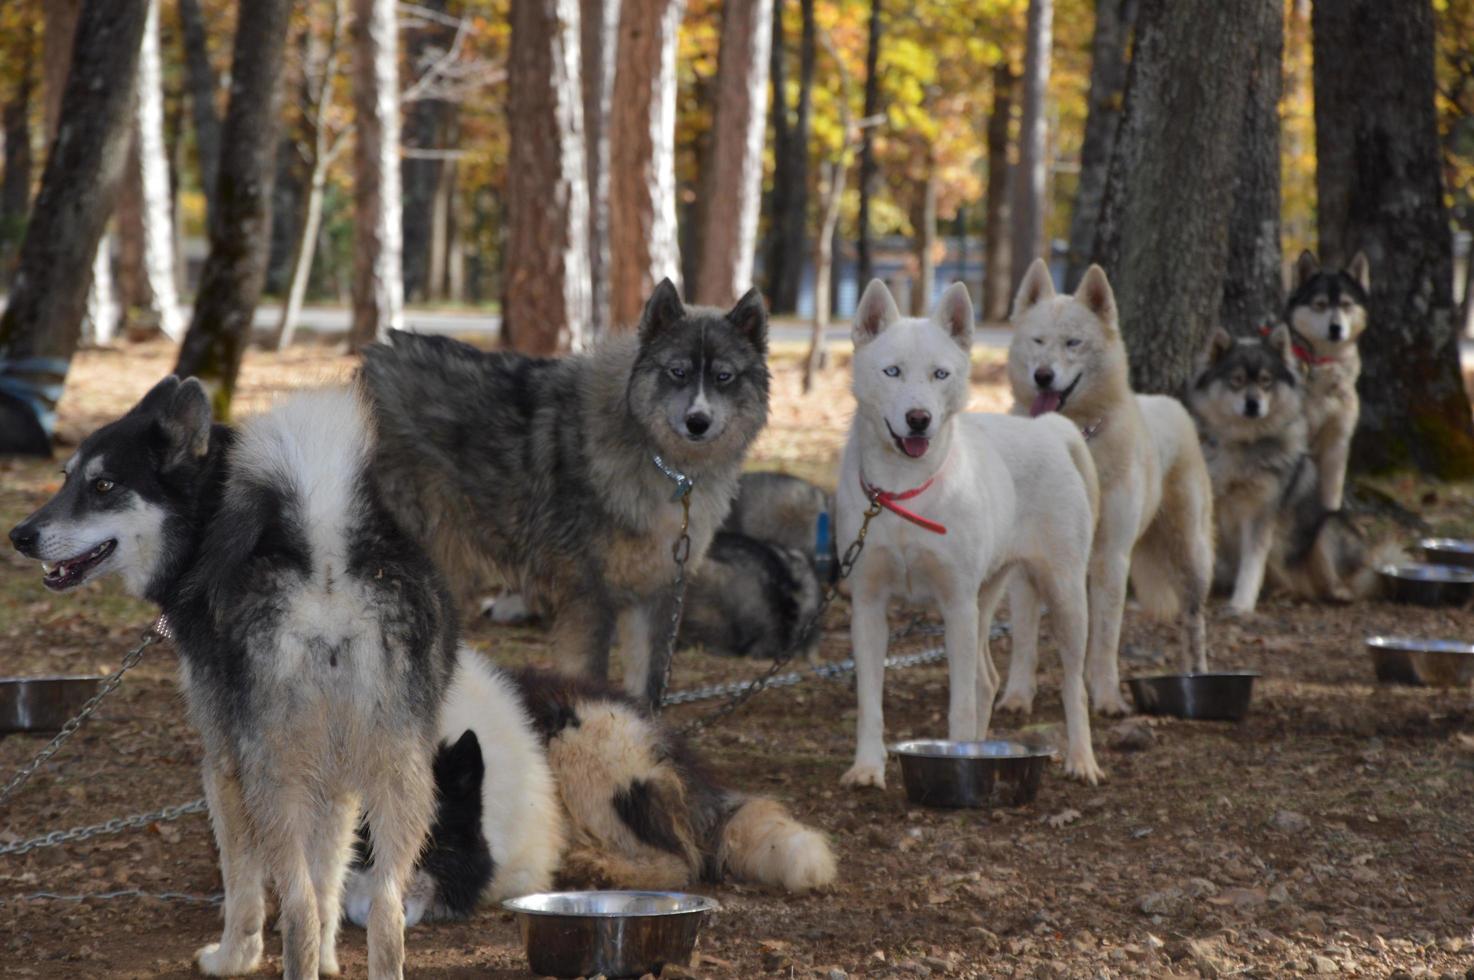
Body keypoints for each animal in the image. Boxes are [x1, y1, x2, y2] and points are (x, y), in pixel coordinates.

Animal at [837, 278, 1102, 784]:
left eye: (940, 374)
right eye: (892, 371)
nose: (919, 418)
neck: (904, 491)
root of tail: (1050, 429)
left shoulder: (955, 605)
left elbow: (958, 706)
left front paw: (956, 763)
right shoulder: (868, 605)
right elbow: (868, 704)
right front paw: (867, 768)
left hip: (1064, 597)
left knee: (1073, 685)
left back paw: (1082, 760)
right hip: (986, 596)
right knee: (988, 680)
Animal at [1008, 259, 1214, 710]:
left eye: (1073, 343)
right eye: (1038, 341)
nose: (1043, 375)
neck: (1076, 438)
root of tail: (1171, 404)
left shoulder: (1111, 557)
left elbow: (1104, 641)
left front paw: (1106, 699)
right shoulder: (1029, 563)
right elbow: (1025, 639)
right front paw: (1017, 697)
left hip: (1190, 557)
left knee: (1193, 621)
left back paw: (1199, 674)